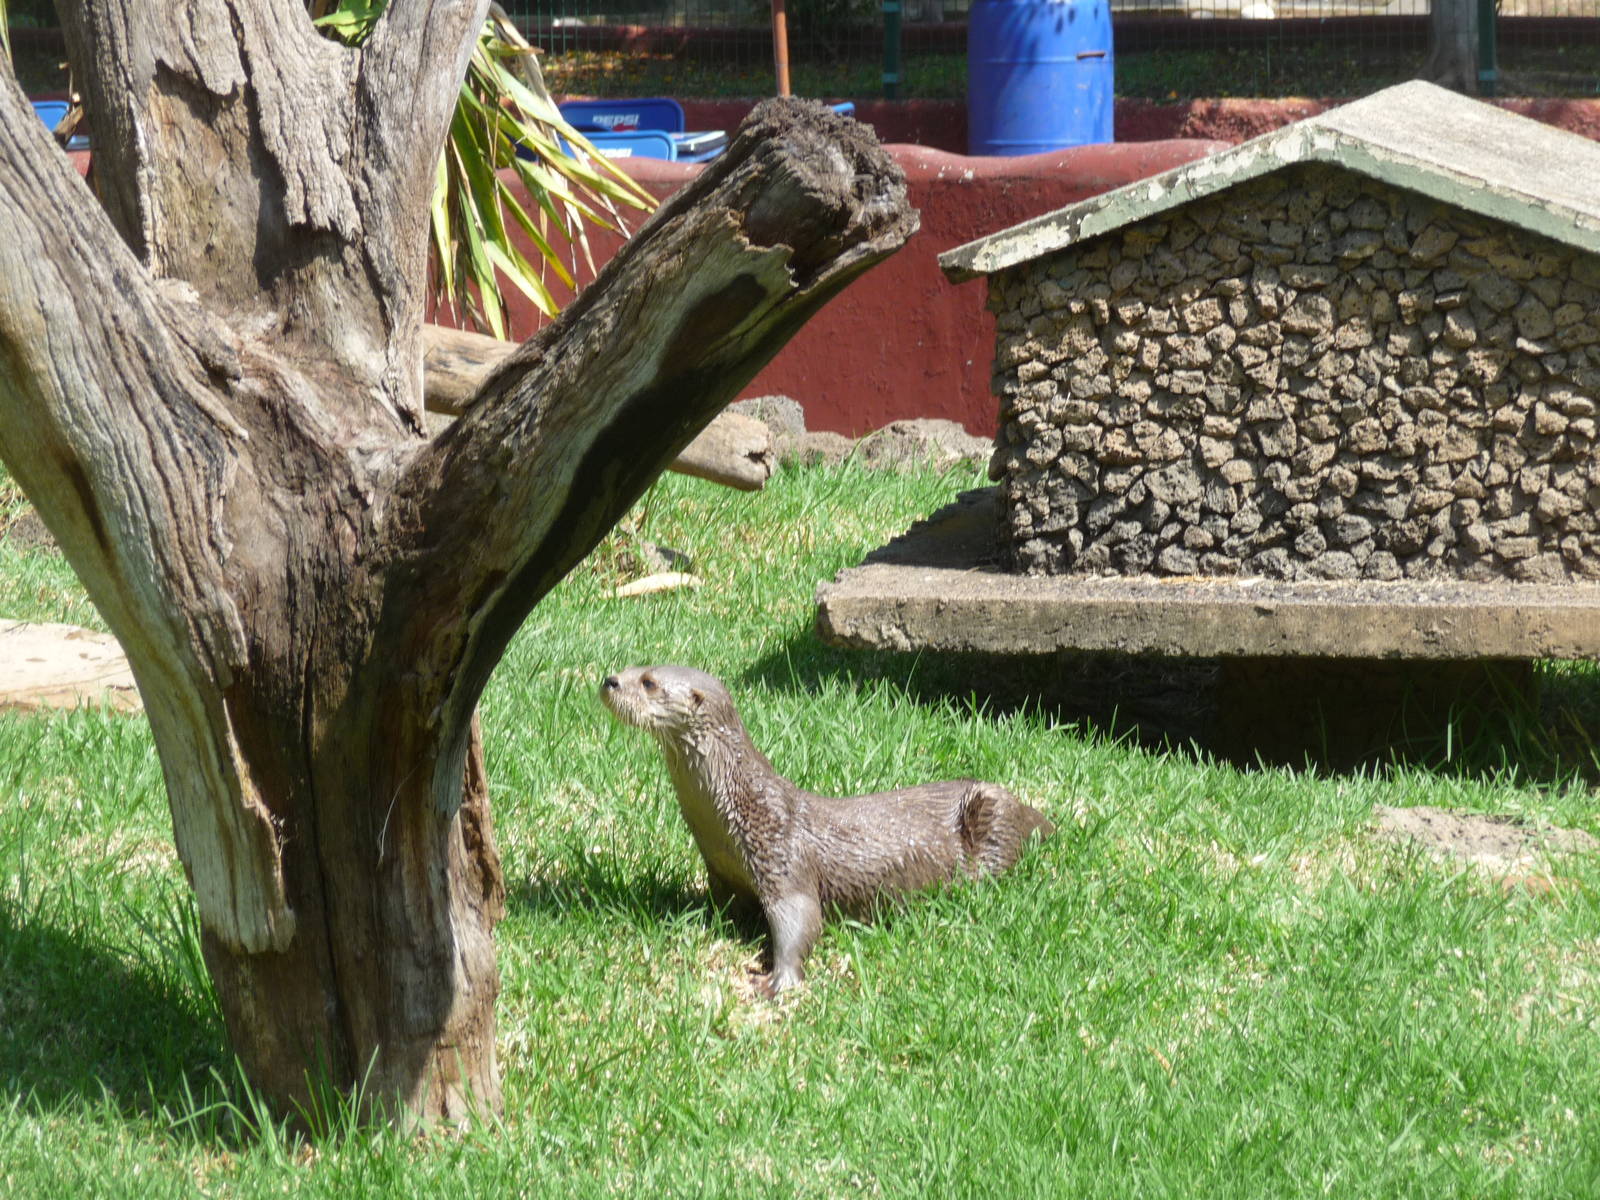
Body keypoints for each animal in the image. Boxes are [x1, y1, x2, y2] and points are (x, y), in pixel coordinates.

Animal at [600, 665, 1053, 995]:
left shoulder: (780, 853)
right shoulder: (723, 871)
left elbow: (801, 917)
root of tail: (1035, 814)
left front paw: (777, 981)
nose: (610, 680)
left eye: (648, 682)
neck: (733, 818)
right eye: (633, 665)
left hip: (992, 814)